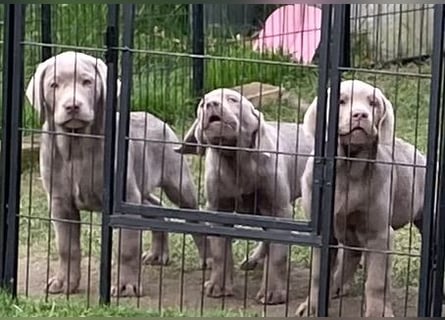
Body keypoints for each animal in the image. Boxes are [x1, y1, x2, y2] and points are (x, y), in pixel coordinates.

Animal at [25, 50, 209, 298]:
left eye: (87, 82)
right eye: (54, 85)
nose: (72, 106)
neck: (77, 145)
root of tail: (154, 117)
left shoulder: (123, 198)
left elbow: (127, 247)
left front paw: (126, 285)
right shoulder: (60, 202)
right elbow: (66, 247)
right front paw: (64, 282)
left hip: (177, 182)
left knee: (193, 215)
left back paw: (208, 257)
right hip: (140, 189)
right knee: (156, 206)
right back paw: (158, 254)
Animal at [173, 88, 312, 304]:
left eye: (232, 99)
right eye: (203, 102)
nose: (211, 104)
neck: (235, 161)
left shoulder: (279, 209)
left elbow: (278, 253)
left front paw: (273, 293)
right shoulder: (217, 208)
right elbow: (220, 251)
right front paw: (218, 286)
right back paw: (253, 260)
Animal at [294, 80, 424, 318]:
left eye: (373, 103)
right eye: (341, 101)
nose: (360, 115)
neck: (349, 171)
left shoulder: (379, 234)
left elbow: (376, 281)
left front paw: (376, 313)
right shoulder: (324, 231)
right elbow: (317, 273)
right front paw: (311, 307)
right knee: (350, 256)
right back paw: (336, 287)